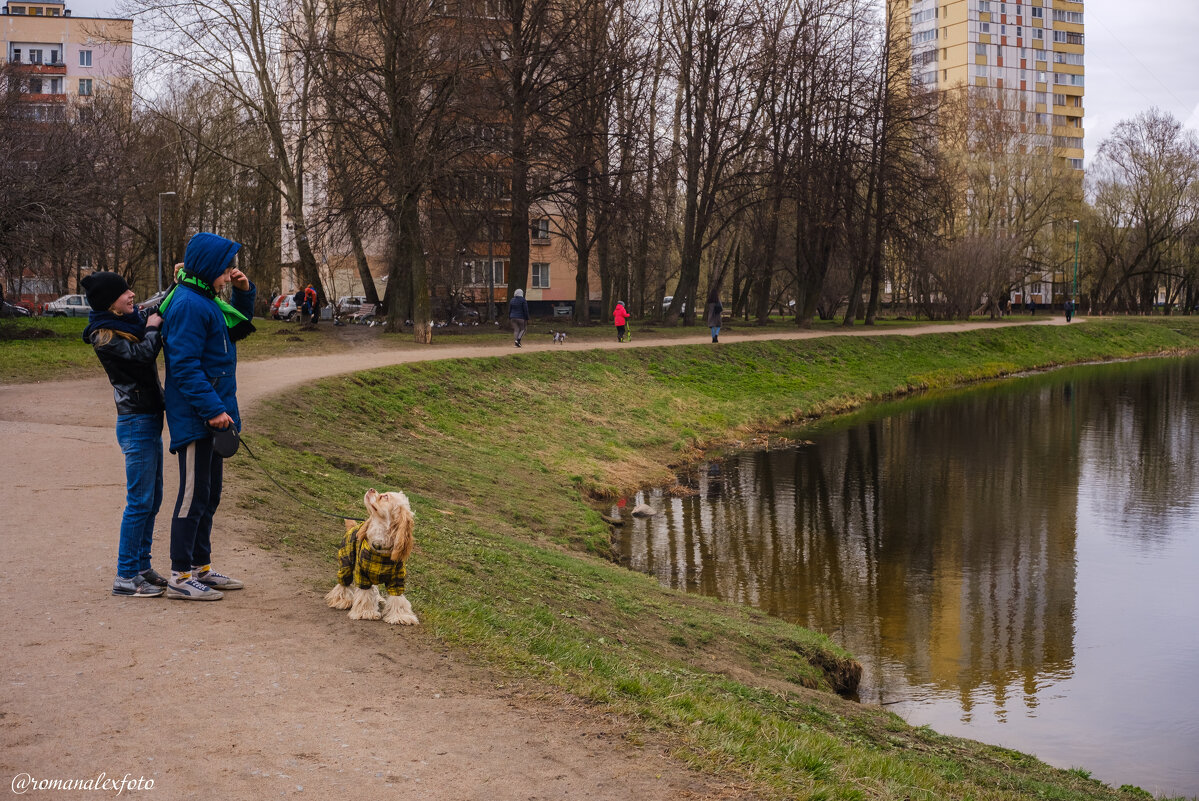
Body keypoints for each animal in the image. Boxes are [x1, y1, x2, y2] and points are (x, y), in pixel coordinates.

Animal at [326, 489, 419, 623]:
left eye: (385, 497)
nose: (371, 489)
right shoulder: (362, 574)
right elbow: (365, 594)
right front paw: (366, 612)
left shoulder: (397, 579)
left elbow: (398, 598)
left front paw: (400, 616)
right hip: (346, 562)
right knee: (344, 582)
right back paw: (341, 600)